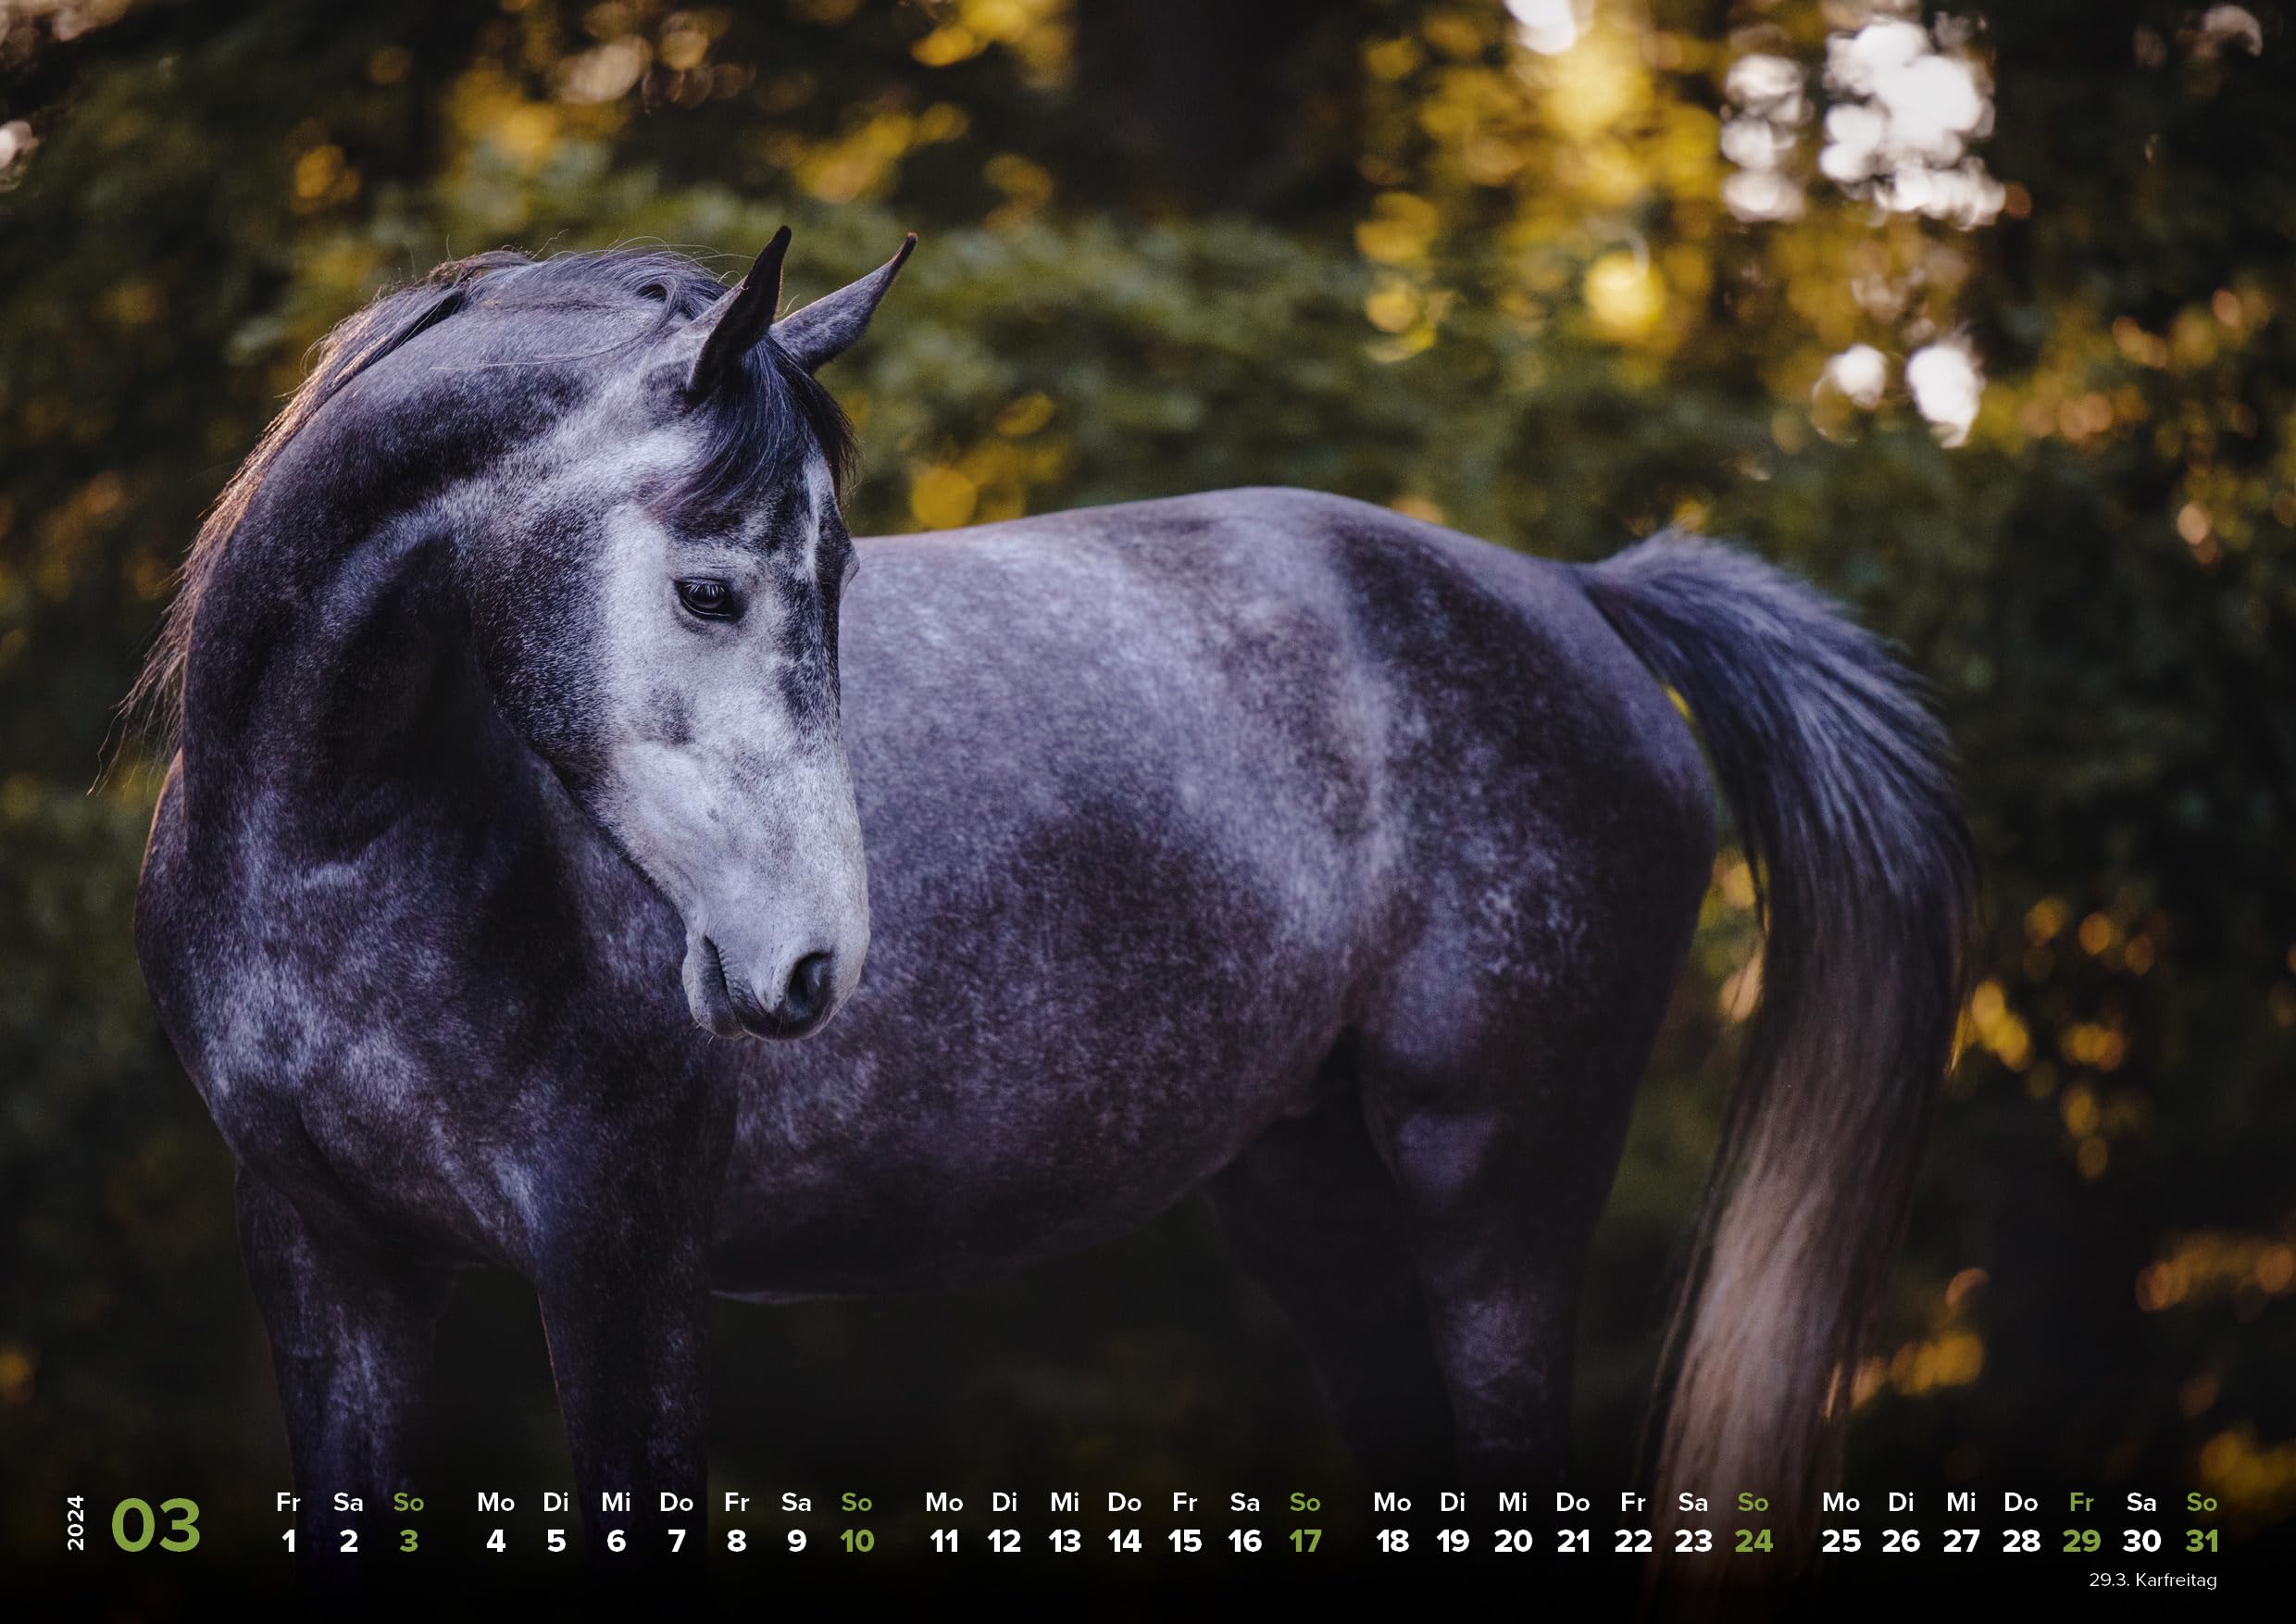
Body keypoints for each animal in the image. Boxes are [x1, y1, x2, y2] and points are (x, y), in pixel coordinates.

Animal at [129, 227, 1972, 1576]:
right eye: (711, 589)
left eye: (840, 576)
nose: (814, 961)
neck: (338, 849)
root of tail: (1576, 593)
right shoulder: (329, 1260)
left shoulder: (616, 1257)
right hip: (1318, 1201)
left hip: (1494, 1200)